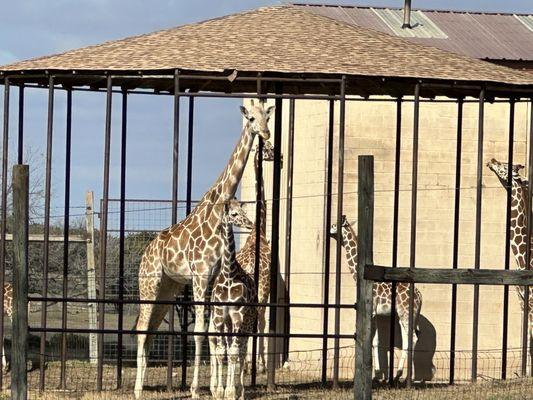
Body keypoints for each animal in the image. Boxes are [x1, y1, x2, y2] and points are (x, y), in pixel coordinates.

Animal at [133, 99, 274, 396]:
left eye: (267, 117)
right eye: (251, 118)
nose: (266, 134)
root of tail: (145, 253)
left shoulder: (214, 278)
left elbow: (212, 333)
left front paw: (215, 387)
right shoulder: (200, 275)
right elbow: (199, 331)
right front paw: (197, 388)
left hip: (168, 288)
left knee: (150, 329)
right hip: (149, 284)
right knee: (141, 328)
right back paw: (137, 389)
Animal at [326, 216, 422, 382]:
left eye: (334, 224)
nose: (327, 230)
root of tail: (420, 297)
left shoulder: (370, 311)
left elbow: (369, 340)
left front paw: (374, 375)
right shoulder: (375, 313)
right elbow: (376, 341)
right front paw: (377, 375)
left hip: (406, 313)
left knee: (413, 338)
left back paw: (405, 376)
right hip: (407, 315)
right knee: (408, 338)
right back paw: (401, 375)